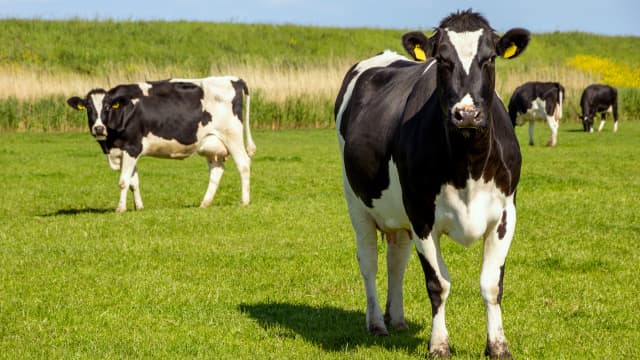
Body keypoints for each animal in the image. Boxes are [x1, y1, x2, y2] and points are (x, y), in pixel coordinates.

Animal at [65, 76, 255, 211]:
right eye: (89, 108)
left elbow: (124, 181)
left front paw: (120, 208)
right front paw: (139, 207)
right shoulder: (127, 151)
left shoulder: (132, 148)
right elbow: (134, 182)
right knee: (216, 171)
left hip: (232, 136)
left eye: (107, 107)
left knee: (244, 165)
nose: (98, 128)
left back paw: (244, 201)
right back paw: (205, 203)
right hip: (211, 143)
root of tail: (234, 79)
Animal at [336, 9, 528, 358]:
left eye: (489, 58)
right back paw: (377, 323)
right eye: (442, 59)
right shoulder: (422, 215)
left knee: (396, 262)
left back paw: (397, 319)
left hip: (399, 215)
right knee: (369, 261)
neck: (468, 166)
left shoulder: (506, 214)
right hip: (357, 203)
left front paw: (498, 345)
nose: (466, 113)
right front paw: (439, 344)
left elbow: (491, 283)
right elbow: (439, 284)